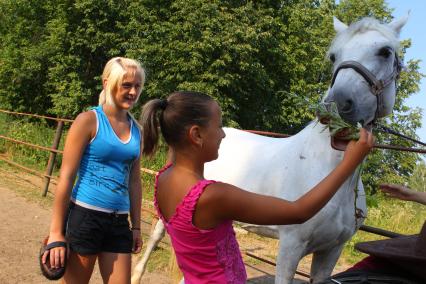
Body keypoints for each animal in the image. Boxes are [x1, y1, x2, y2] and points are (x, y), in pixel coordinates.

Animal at [132, 16, 406, 284]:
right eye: (333, 56)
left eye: (385, 52)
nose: (336, 105)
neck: (326, 169)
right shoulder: (290, 246)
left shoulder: (330, 252)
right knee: (156, 237)